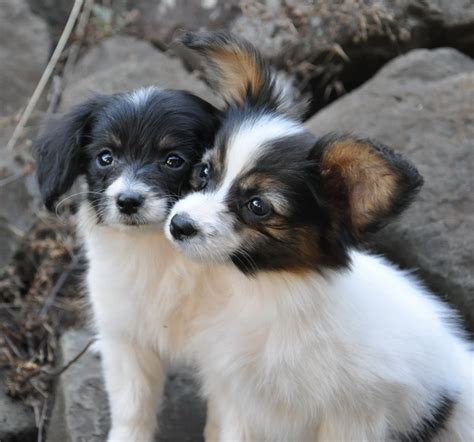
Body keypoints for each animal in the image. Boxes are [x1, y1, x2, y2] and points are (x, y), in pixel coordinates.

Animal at [35, 84, 220, 440]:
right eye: (105, 157)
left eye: (173, 160)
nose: (128, 201)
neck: (158, 248)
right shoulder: (128, 335)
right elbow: (131, 405)